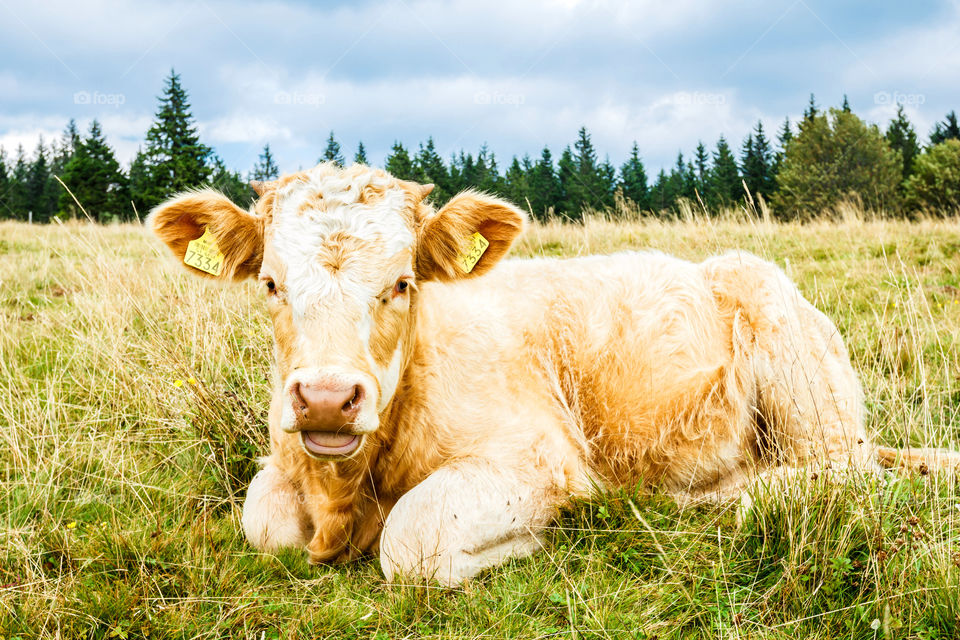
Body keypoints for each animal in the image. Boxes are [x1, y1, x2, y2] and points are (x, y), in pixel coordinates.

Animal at [150, 161, 960, 584]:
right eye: (271, 284)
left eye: (403, 283)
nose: (325, 398)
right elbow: (264, 523)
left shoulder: (541, 459)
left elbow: (412, 541)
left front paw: (535, 538)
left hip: (803, 387)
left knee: (840, 476)